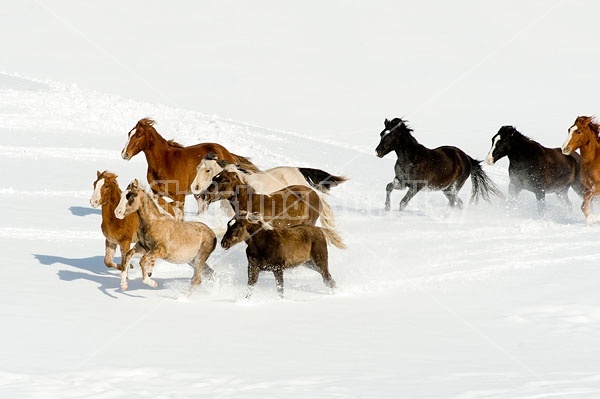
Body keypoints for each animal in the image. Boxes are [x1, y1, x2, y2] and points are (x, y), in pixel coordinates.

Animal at [120, 118, 258, 214]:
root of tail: (228, 153)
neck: (165, 162)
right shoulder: (156, 193)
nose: (124, 154)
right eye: (129, 133)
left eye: (138, 135)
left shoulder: (179, 197)